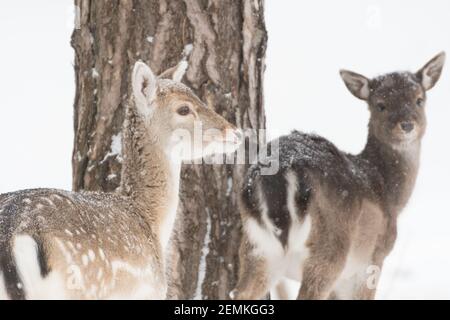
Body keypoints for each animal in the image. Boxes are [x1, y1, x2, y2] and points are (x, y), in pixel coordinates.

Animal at [0, 61, 243, 298]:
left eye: (198, 97)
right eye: (183, 109)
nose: (235, 132)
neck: (152, 223)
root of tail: (10, 239)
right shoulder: (149, 292)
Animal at [232, 52, 446, 300]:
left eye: (419, 99)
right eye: (380, 105)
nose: (407, 125)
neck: (390, 194)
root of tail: (280, 174)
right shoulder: (373, 258)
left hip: (257, 248)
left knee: (238, 292)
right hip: (330, 249)